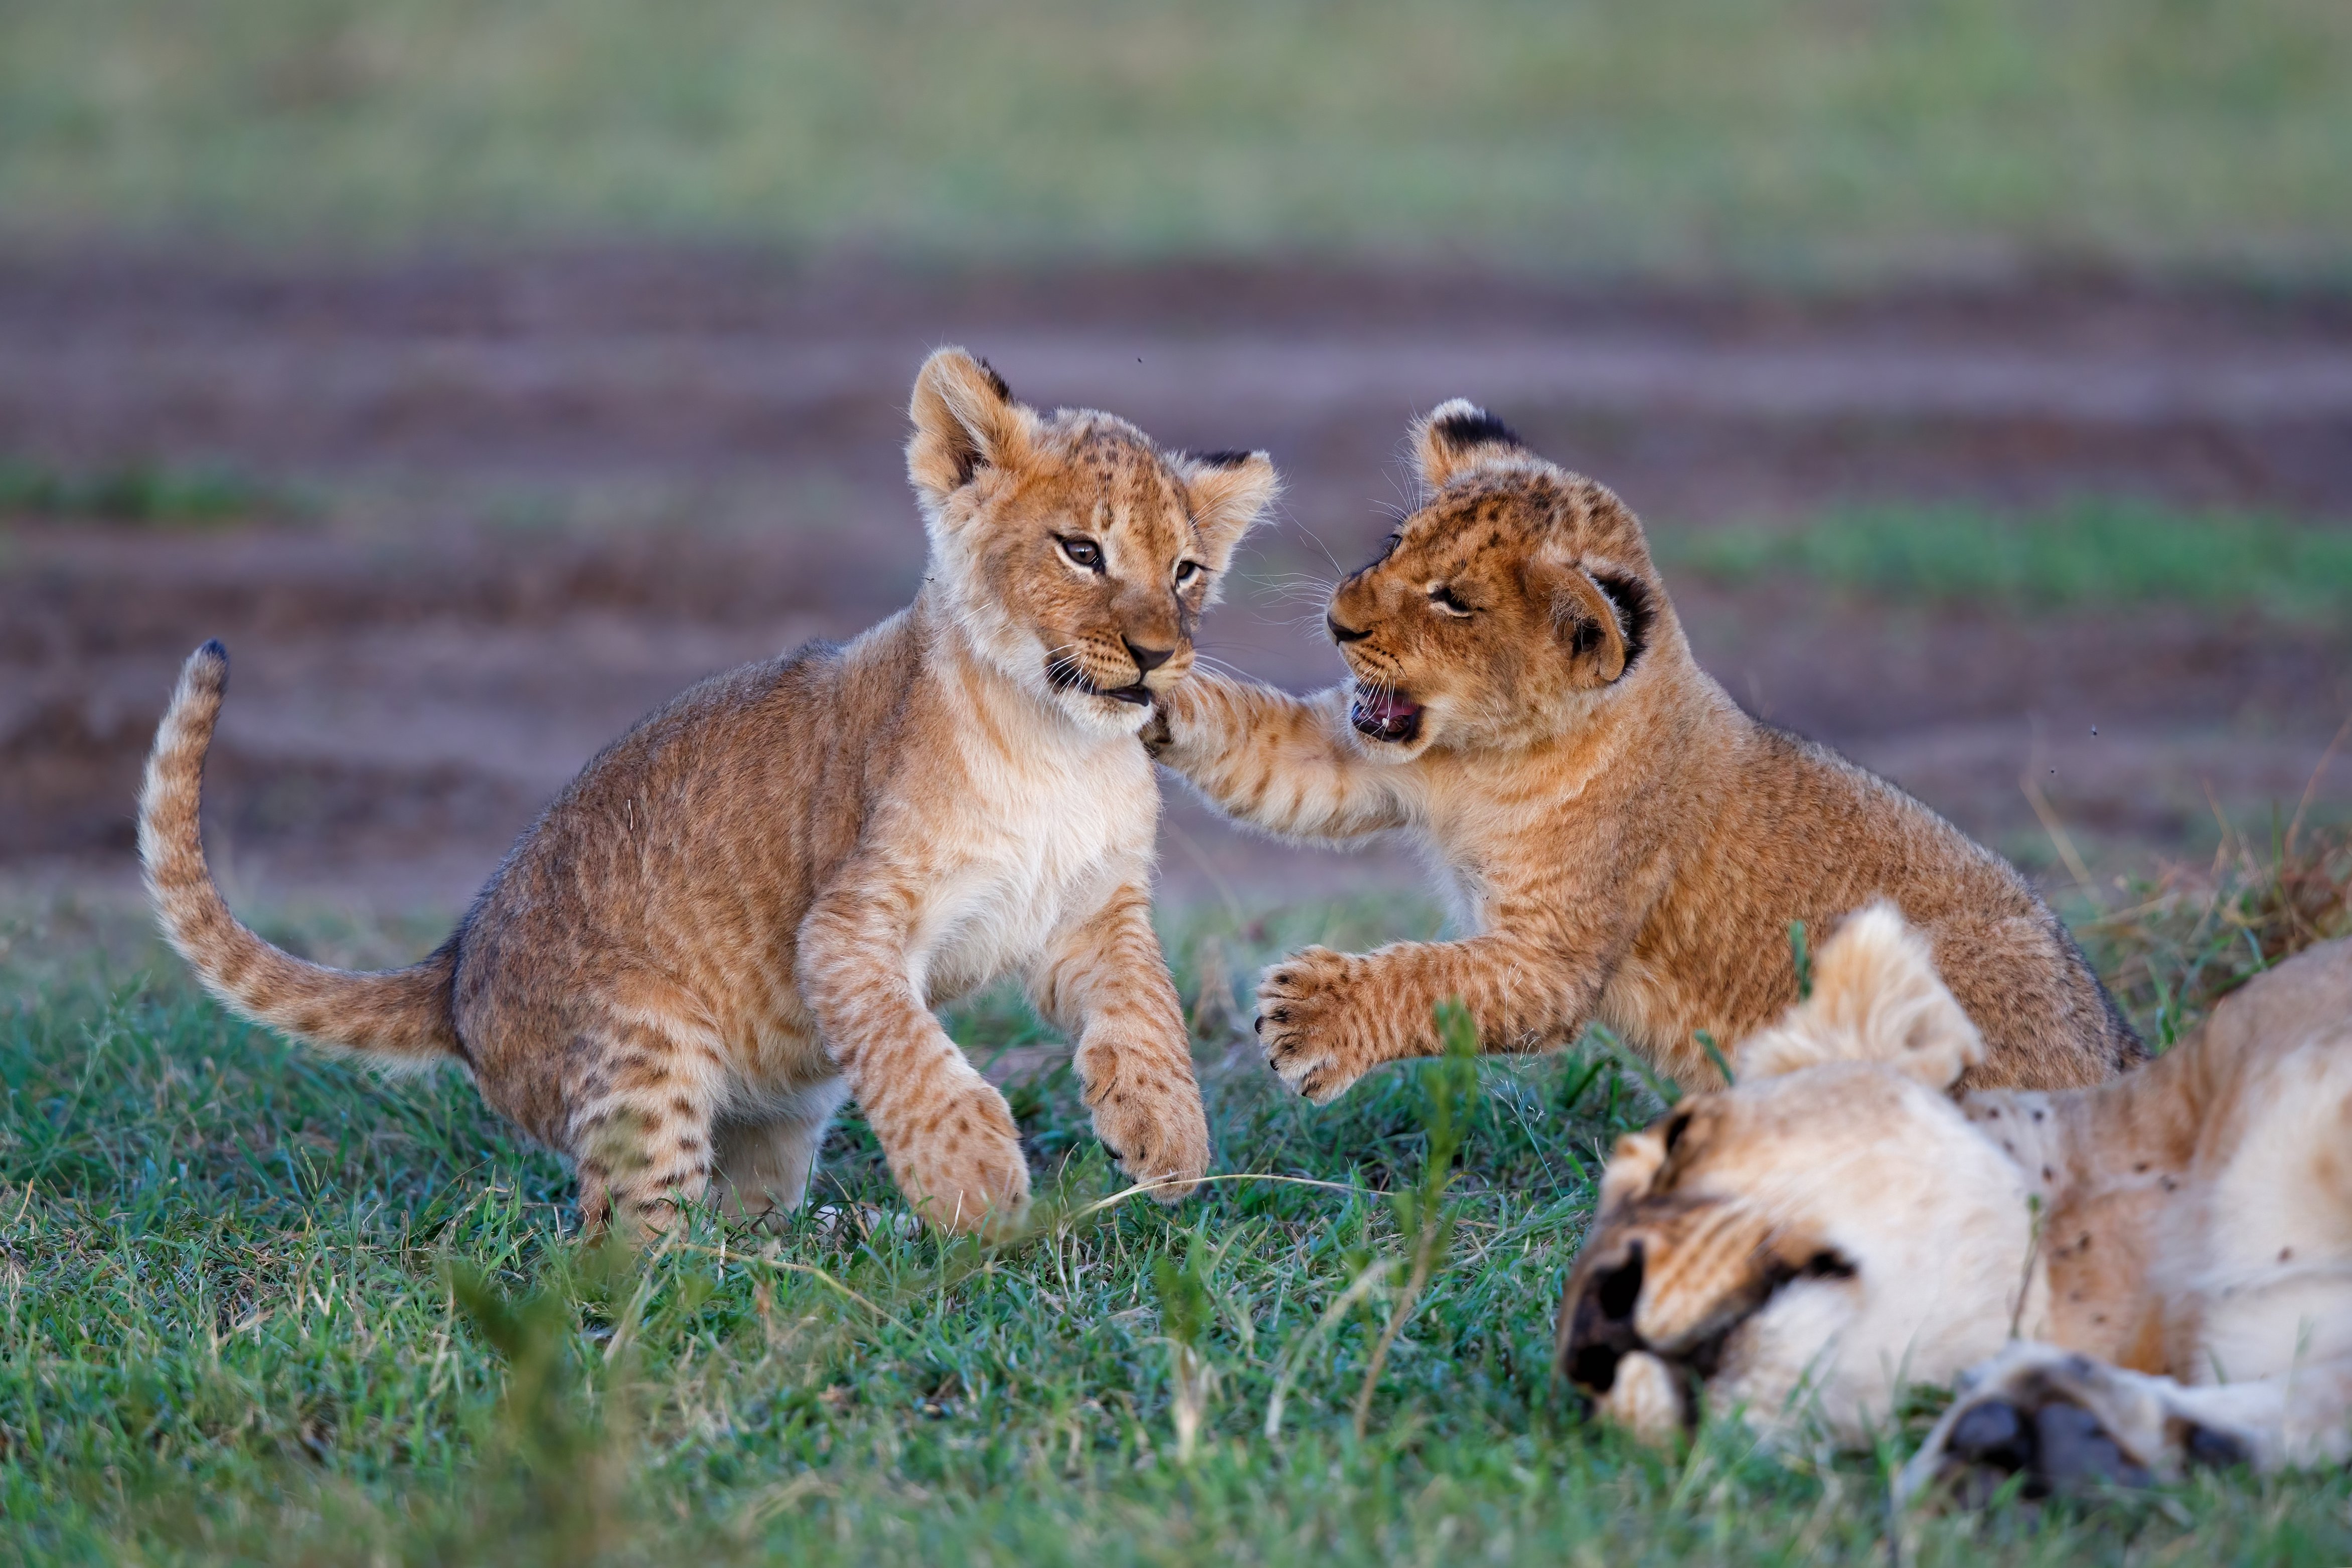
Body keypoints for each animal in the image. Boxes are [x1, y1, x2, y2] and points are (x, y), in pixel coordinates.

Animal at [139, 348, 1279, 1238]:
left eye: (1184, 571)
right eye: (1080, 551)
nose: (1157, 656)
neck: (1058, 746)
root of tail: (454, 970)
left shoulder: (1090, 912)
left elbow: (1148, 1012)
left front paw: (1167, 1139)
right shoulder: (846, 927)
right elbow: (911, 1053)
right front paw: (974, 1183)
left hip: (773, 1113)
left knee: (735, 1206)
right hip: (646, 1049)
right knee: (625, 1244)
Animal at [1148, 401, 2141, 1096]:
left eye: (1454, 601)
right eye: (1394, 543)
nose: (1336, 621)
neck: (1487, 757)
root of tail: (2118, 1046)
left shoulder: (1551, 959)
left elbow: (1433, 978)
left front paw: (1307, 1020)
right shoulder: (1362, 762)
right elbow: (1262, 745)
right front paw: (1146, 688)